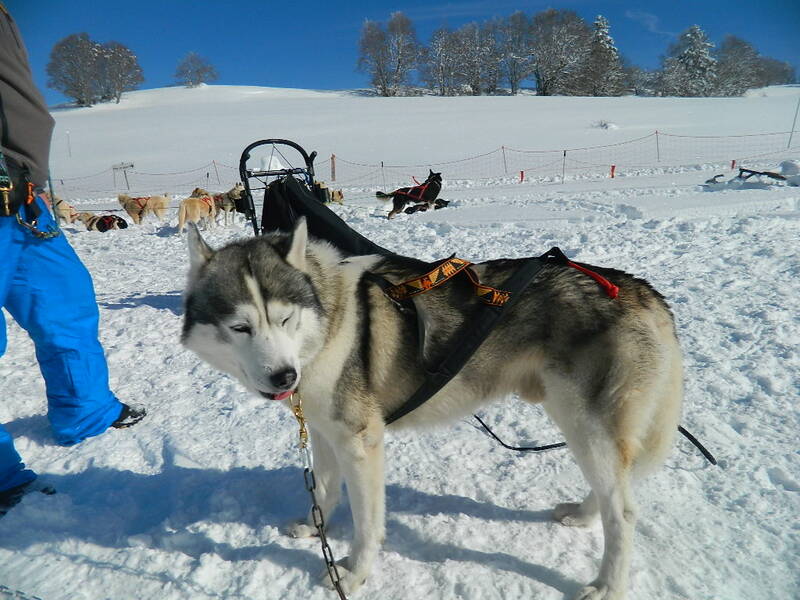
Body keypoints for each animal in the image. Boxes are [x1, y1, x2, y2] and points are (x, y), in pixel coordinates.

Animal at [184, 220, 684, 600]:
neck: (329, 320)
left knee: (623, 512)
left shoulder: (360, 441)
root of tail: (643, 291)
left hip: (585, 423)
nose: (285, 377)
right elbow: (323, 491)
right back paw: (582, 516)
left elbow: (367, 523)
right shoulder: (326, 431)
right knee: (610, 491)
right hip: (580, 424)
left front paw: (353, 573)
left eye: (285, 319)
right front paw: (315, 529)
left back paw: (607, 586)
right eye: (241, 327)